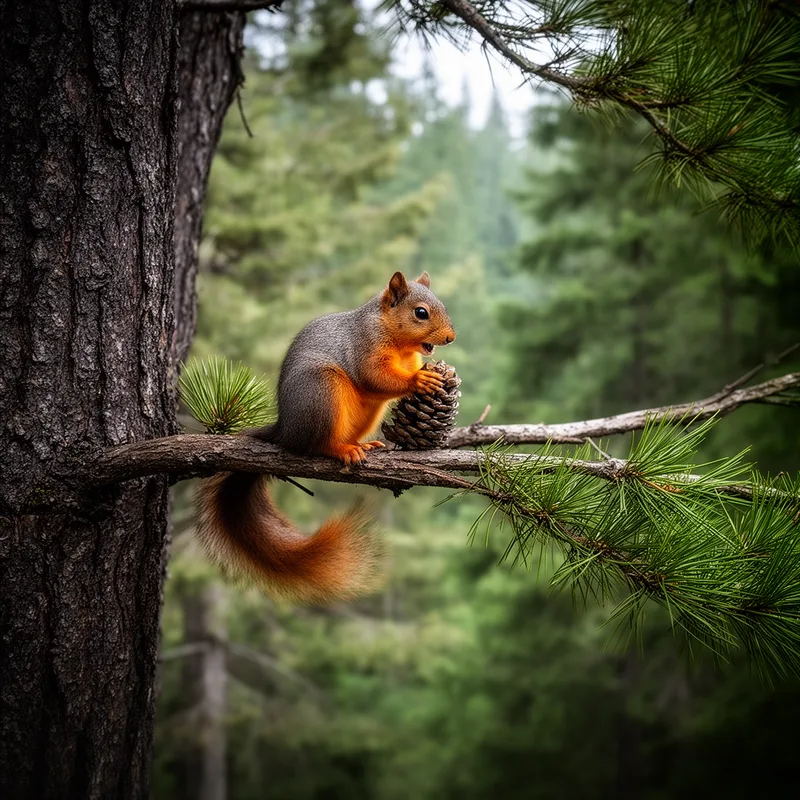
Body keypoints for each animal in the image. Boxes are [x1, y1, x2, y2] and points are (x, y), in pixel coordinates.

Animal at [196, 271, 456, 604]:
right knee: (318, 446)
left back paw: (361, 444)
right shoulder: (364, 347)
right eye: (420, 313)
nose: (450, 337)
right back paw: (341, 450)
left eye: (443, 306)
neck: (400, 344)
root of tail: (285, 431)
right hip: (322, 390)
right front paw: (419, 380)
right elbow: (375, 376)